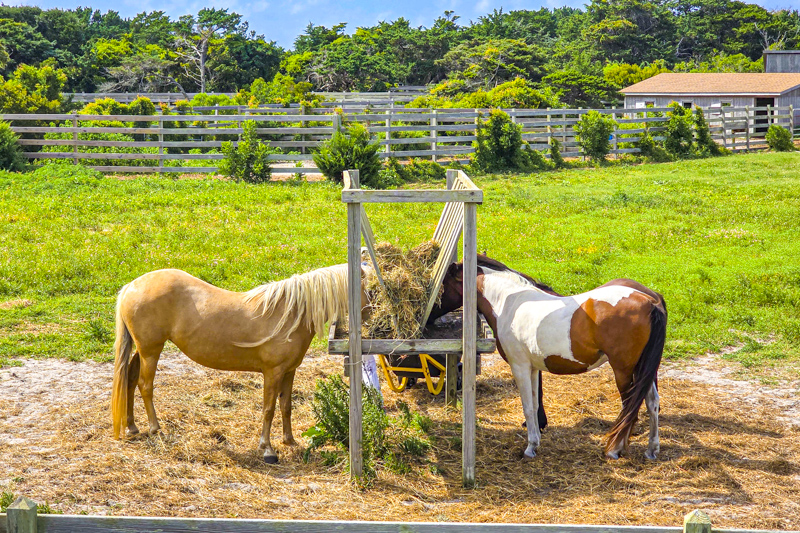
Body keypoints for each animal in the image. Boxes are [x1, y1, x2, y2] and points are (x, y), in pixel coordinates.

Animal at [111, 264, 358, 463]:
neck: (290, 313)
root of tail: (131, 286)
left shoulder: (289, 371)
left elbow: (286, 406)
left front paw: (290, 441)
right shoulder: (273, 373)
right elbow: (268, 409)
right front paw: (267, 450)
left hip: (142, 350)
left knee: (130, 380)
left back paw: (132, 427)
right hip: (151, 350)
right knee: (145, 385)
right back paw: (155, 429)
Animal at [432, 255, 667, 460]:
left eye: (443, 283)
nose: (430, 314)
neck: (509, 303)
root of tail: (650, 302)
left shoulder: (520, 367)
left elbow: (528, 407)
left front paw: (530, 448)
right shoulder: (534, 368)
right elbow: (536, 403)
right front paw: (536, 440)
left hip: (623, 370)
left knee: (629, 407)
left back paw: (614, 450)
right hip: (642, 370)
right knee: (652, 403)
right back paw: (651, 450)